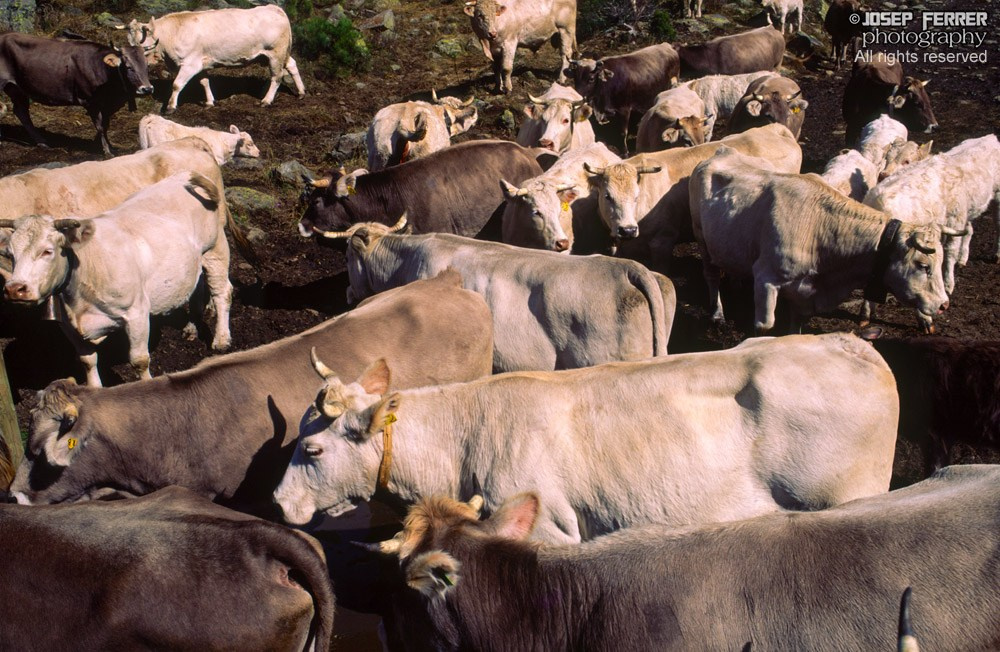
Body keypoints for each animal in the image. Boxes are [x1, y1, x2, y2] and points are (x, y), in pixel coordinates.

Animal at [0, 33, 152, 155]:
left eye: (147, 66)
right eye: (128, 67)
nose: (147, 89)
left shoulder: (107, 105)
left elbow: (106, 124)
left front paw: (107, 146)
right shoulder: (90, 101)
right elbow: (100, 126)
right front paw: (106, 151)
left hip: (17, 88)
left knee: (21, 111)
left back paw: (42, 142)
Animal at [0, 172, 234, 386]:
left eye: (47, 251)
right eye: (10, 254)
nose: (15, 288)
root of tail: (185, 175)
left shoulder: (137, 312)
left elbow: (139, 360)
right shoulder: (67, 326)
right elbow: (87, 361)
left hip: (215, 250)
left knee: (223, 291)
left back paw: (221, 339)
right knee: (197, 287)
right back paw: (192, 327)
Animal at [122, 5, 305, 113]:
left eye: (143, 45)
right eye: (129, 43)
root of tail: (275, 8)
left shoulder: (190, 63)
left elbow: (176, 85)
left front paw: (171, 106)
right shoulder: (201, 63)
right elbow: (204, 82)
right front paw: (210, 102)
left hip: (276, 53)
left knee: (277, 76)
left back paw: (266, 100)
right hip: (278, 54)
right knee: (292, 65)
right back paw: (301, 92)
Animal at [690, 146, 952, 333]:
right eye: (923, 265)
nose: (943, 305)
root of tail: (723, 151)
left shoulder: (803, 296)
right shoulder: (766, 279)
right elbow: (764, 327)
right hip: (702, 238)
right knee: (711, 276)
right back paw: (717, 313)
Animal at [864, 135, 1000, 297]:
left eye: (907, 161)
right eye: (887, 157)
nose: (883, 175)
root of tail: (990, 137)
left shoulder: (956, 218)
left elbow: (950, 251)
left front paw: (948, 284)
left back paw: (996, 254)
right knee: (970, 230)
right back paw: (963, 258)